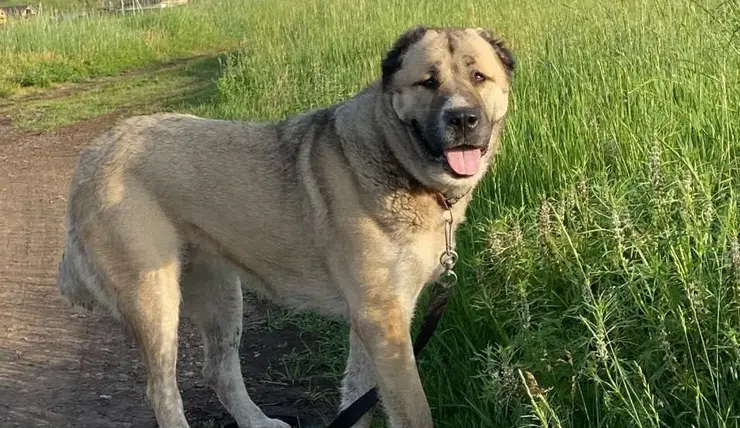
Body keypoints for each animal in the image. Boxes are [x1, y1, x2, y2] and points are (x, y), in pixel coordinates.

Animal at [57, 26, 516, 428]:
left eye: (479, 76)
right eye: (427, 82)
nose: (463, 118)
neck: (397, 160)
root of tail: (90, 158)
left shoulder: (373, 321)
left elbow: (357, 396)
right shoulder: (383, 319)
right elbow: (412, 410)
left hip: (222, 294)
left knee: (219, 370)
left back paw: (258, 422)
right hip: (155, 300)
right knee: (162, 392)